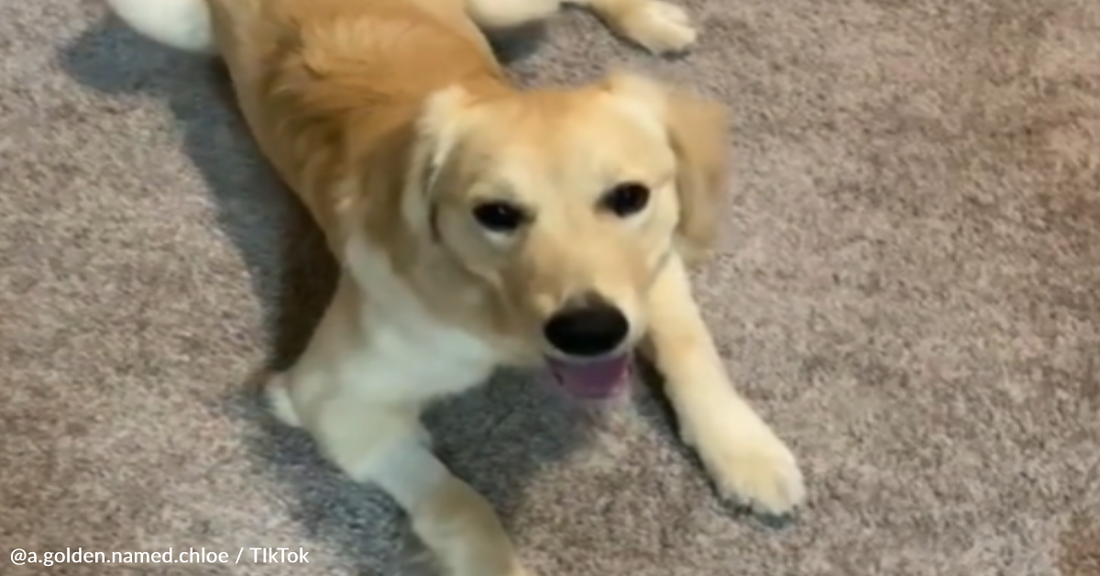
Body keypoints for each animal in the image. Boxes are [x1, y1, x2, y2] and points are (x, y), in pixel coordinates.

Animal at [103, 0, 805, 571]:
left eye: (629, 197)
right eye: (496, 214)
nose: (589, 333)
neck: (494, 315)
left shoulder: (656, 264)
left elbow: (691, 349)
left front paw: (747, 452)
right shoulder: (328, 399)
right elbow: (460, 505)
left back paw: (654, 21)